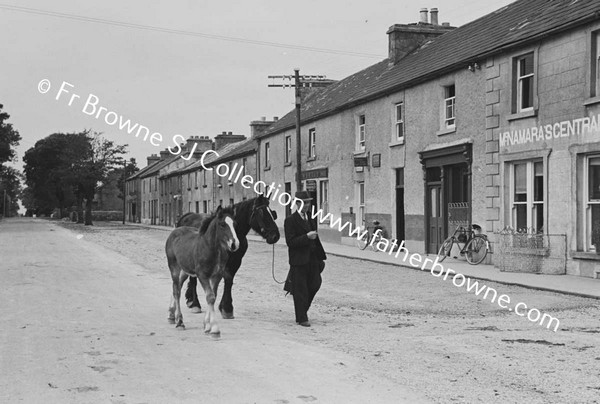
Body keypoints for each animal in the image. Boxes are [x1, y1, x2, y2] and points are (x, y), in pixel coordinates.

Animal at [165, 207, 240, 336]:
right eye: (222, 224)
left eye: (234, 224)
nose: (234, 244)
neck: (211, 249)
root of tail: (175, 231)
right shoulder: (202, 275)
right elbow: (210, 297)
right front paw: (214, 329)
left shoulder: (217, 276)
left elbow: (213, 296)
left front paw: (207, 326)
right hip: (174, 266)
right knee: (176, 291)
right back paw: (180, 322)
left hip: (185, 270)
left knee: (178, 285)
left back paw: (171, 315)